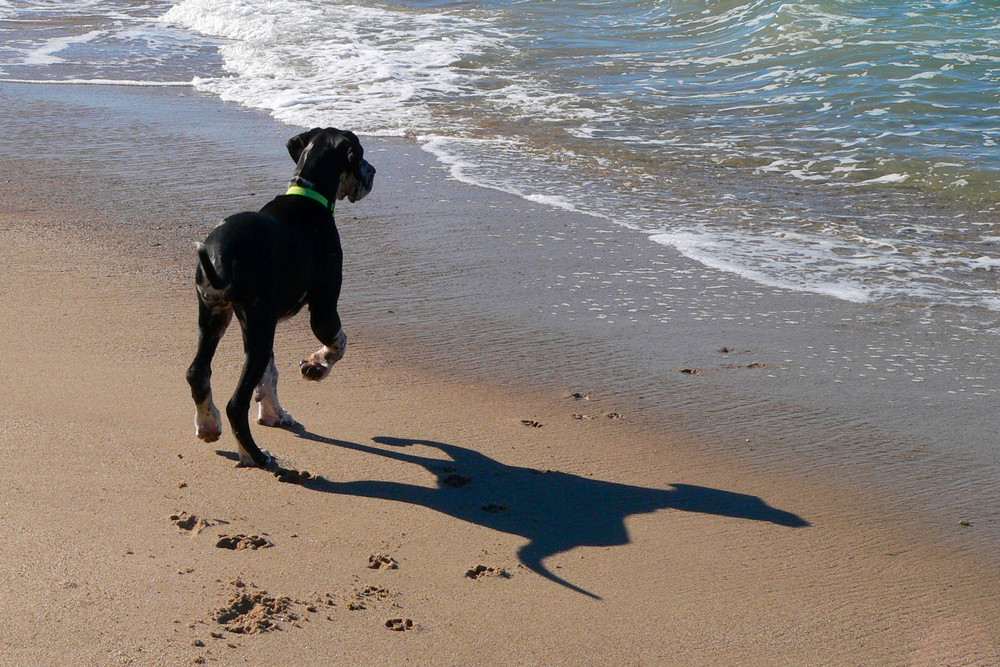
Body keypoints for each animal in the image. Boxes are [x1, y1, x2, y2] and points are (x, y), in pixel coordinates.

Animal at [187, 128, 376, 468]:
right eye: (360, 155)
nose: (374, 172)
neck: (307, 196)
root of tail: (220, 254)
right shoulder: (324, 308)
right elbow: (339, 343)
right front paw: (317, 366)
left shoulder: (261, 323)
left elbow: (270, 376)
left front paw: (273, 414)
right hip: (256, 327)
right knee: (236, 403)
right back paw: (255, 455)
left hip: (216, 317)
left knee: (197, 372)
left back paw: (208, 425)